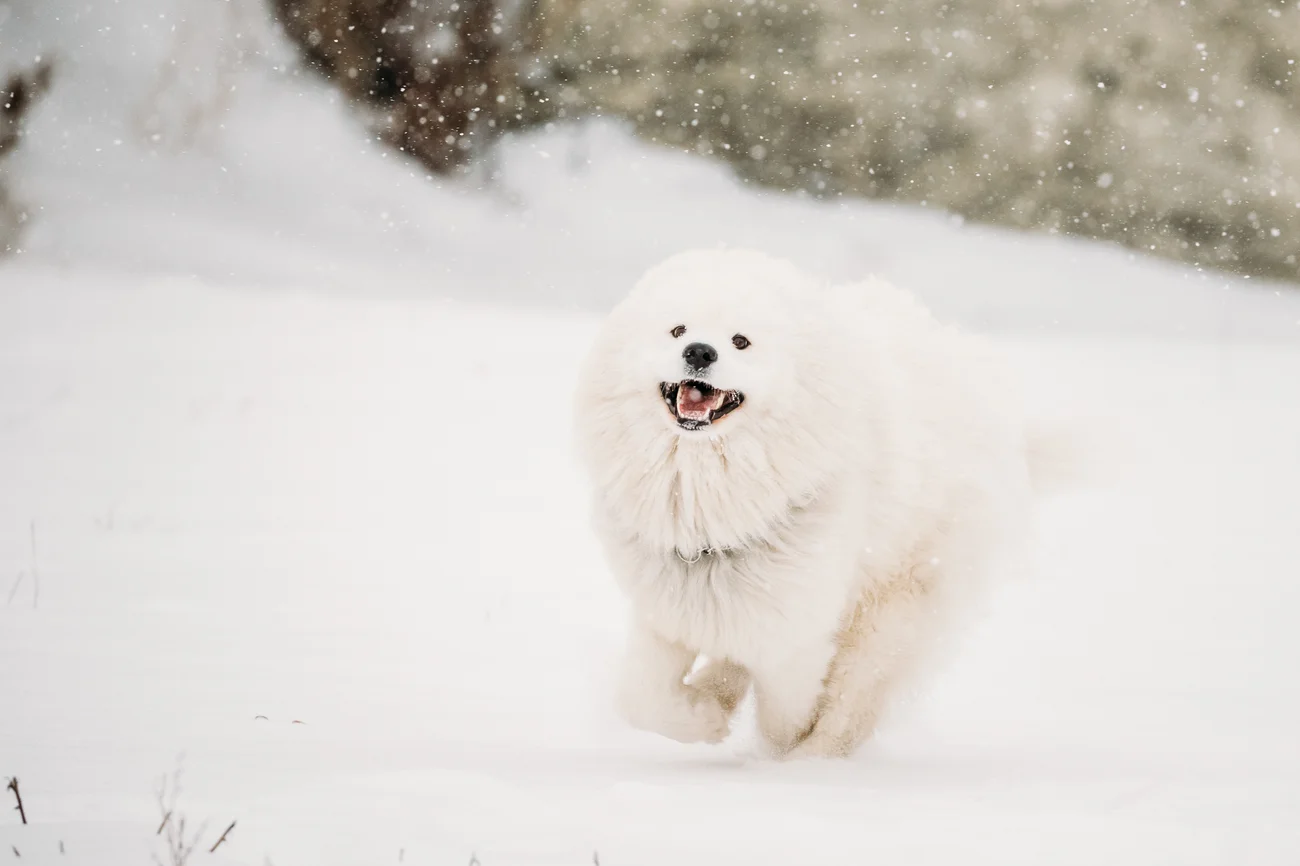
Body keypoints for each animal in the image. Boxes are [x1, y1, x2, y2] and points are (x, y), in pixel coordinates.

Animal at [577, 248, 1055, 754]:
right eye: (677, 330)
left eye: (741, 341)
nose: (700, 352)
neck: (707, 499)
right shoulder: (668, 603)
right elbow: (640, 699)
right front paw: (704, 718)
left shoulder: (797, 626)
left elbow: (784, 718)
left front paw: (771, 752)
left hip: (900, 603)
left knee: (856, 694)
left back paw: (817, 755)